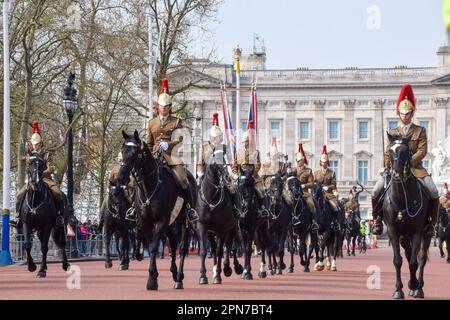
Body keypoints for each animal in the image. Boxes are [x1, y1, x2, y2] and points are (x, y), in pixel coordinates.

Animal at [118, 130, 196, 290]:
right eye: (122, 151)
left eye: (135, 153)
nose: (121, 177)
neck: (150, 187)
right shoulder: (145, 222)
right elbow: (150, 244)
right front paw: (153, 277)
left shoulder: (161, 221)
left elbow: (154, 246)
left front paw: (152, 280)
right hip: (171, 224)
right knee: (173, 245)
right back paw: (174, 272)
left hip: (185, 222)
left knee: (182, 248)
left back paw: (179, 278)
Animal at [196, 151, 239, 284]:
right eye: (217, 158)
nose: (228, 177)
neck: (211, 200)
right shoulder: (202, 227)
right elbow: (204, 251)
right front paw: (203, 276)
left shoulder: (222, 229)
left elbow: (221, 251)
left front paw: (220, 275)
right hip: (211, 232)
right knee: (215, 249)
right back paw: (215, 271)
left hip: (232, 228)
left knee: (229, 246)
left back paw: (227, 268)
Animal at [384, 132, 432, 298]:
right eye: (390, 150)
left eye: (406, 151)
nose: (396, 174)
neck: (402, 199)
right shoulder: (393, 231)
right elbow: (398, 260)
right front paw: (399, 289)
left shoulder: (417, 232)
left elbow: (414, 262)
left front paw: (414, 285)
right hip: (404, 236)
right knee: (409, 253)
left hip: (426, 233)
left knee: (421, 258)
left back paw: (419, 287)